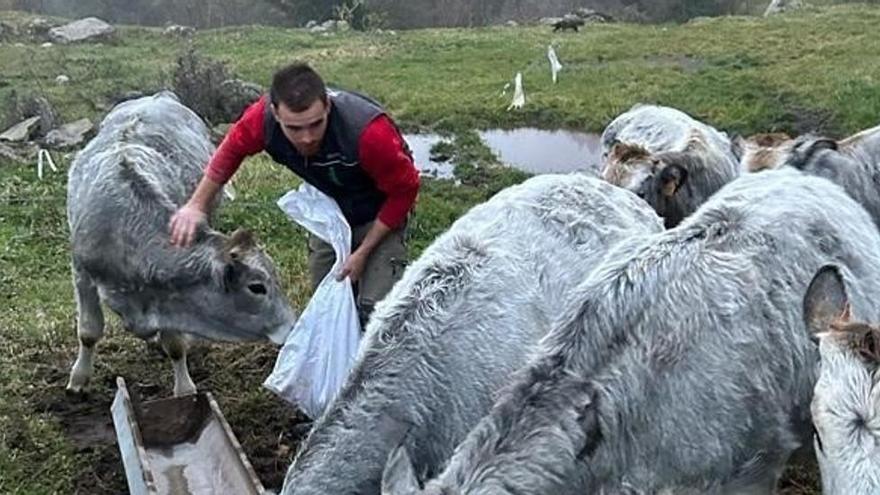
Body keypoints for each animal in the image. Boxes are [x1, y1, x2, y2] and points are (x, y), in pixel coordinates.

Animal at [68, 91, 296, 398]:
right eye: (257, 287)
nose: (292, 327)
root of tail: (157, 96)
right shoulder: (81, 271)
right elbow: (88, 331)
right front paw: (78, 379)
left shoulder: (170, 295)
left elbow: (175, 345)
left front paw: (185, 388)